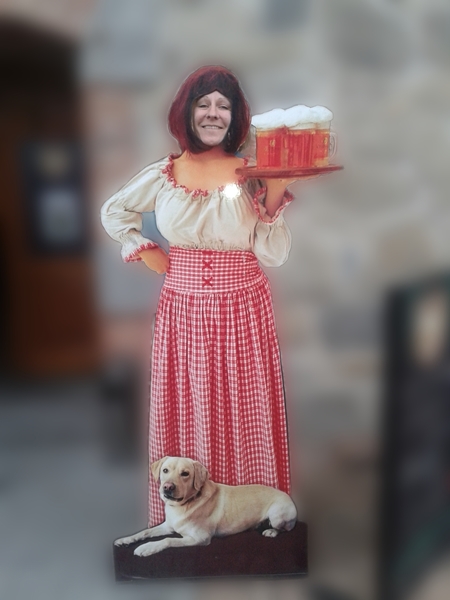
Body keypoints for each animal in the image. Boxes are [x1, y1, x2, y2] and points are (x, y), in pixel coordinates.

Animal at [114, 456, 297, 557]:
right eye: (165, 470)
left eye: (185, 474)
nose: (167, 487)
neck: (182, 505)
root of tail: (289, 497)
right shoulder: (168, 526)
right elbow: (145, 532)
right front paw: (125, 539)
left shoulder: (199, 538)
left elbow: (167, 540)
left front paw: (146, 548)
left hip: (277, 515)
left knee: (286, 528)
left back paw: (271, 531)